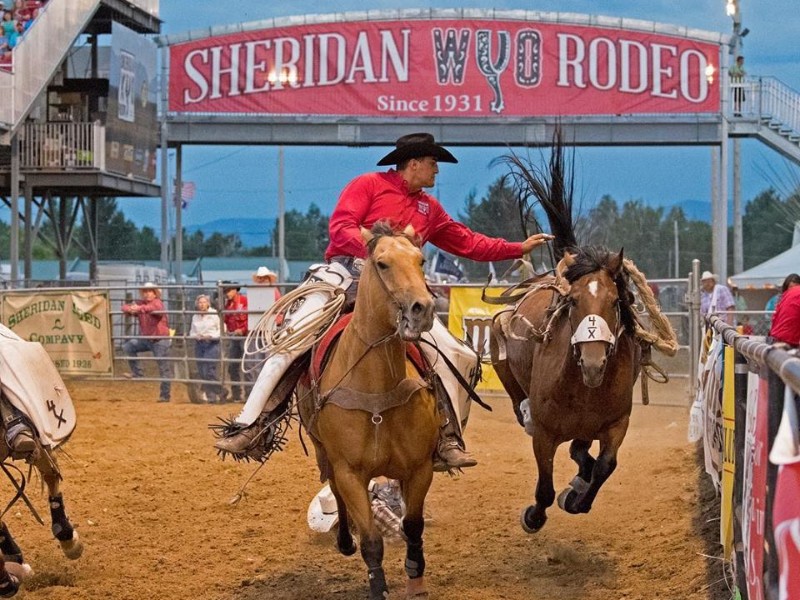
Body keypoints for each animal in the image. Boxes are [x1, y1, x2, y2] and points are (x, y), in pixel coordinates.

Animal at [298, 221, 440, 600]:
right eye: (382, 264)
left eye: (421, 260)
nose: (422, 308)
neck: (378, 388)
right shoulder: (350, 473)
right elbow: (372, 542)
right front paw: (378, 586)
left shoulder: (420, 468)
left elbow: (413, 525)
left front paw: (415, 574)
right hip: (324, 452)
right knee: (333, 489)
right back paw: (345, 541)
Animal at [490, 142, 640, 536]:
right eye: (572, 301)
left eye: (616, 301)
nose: (593, 362)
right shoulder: (545, 434)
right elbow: (544, 486)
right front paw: (534, 516)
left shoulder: (616, 424)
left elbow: (604, 466)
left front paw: (576, 497)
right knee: (521, 407)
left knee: (581, 451)